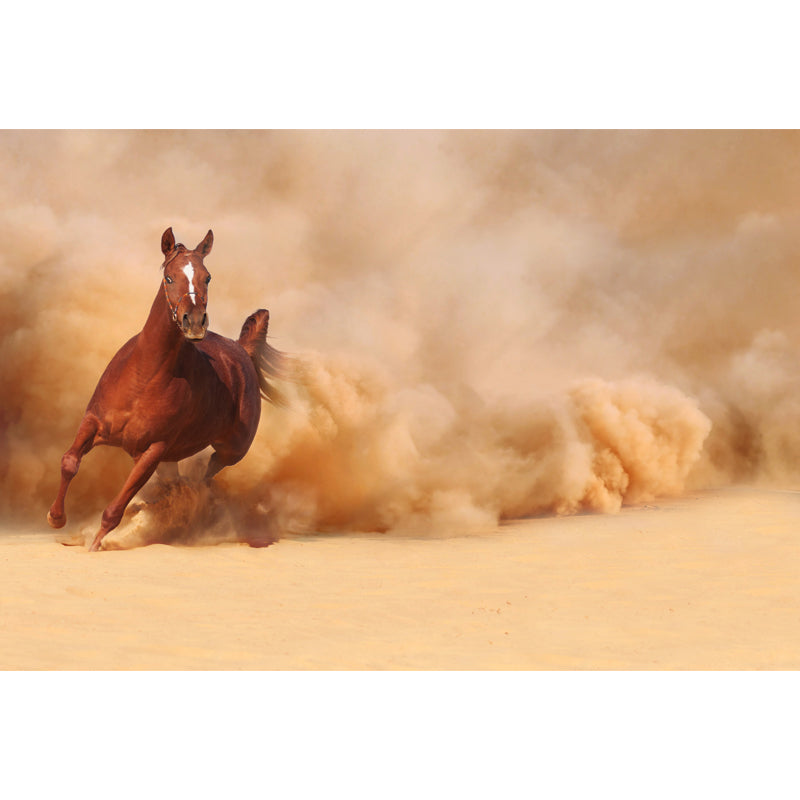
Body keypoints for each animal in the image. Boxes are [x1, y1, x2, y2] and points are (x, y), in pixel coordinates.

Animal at [47, 227, 286, 551]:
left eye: (207, 277)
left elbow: (117, 506)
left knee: (205, 476)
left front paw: (95, 543)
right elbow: (70, 462)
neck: (143, 377)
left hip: (231, 449)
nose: (194, 322)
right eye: (170, 277)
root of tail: (241, 350)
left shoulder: (153, 449)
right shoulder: (93, 422)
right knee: (183, 482)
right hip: (175, 459)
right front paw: (56, 518)